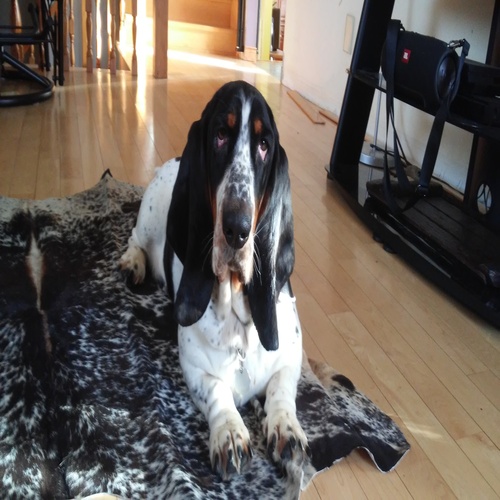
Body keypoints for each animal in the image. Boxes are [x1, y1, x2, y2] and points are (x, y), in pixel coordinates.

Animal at [119, 80, 309, 480]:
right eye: (220, 134)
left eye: (264, 145)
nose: (237, 229)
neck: (237, 313)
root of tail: (171, 162)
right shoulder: (194, 369)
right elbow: (219, 394)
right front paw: (231, 434)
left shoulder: (291, 356)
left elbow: (282, 389)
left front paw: (285, 427)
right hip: (148, 218)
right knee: (134, 238)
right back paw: (133, 264)